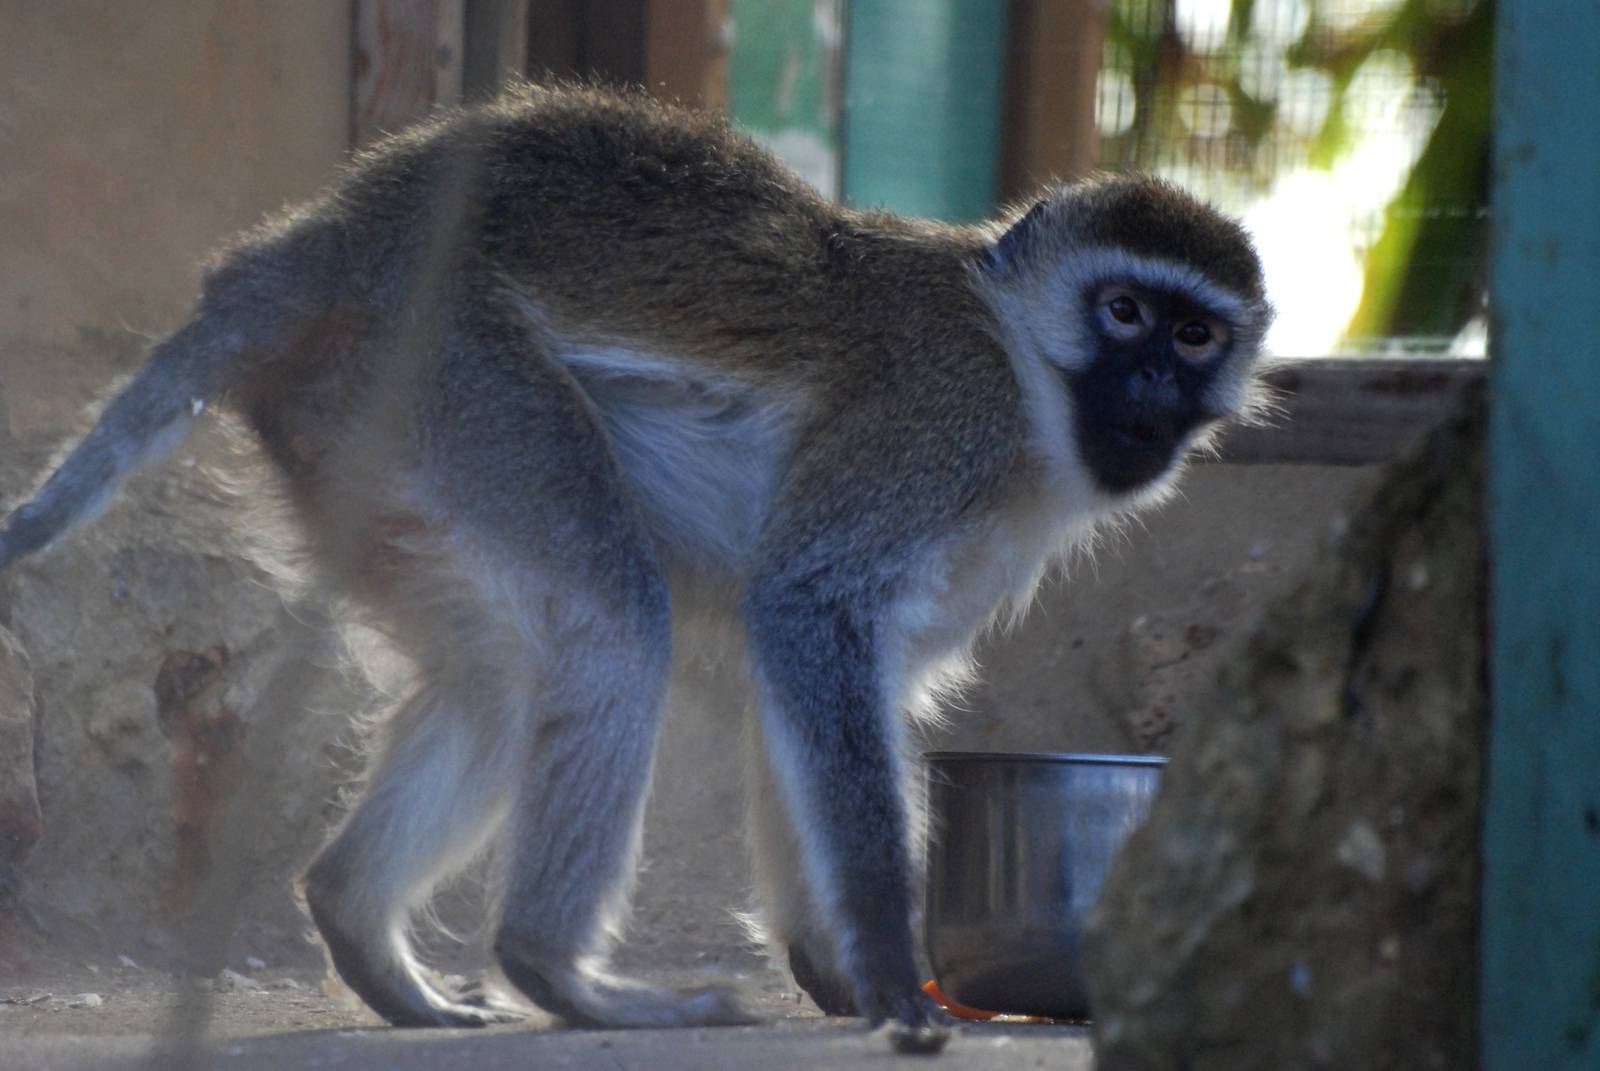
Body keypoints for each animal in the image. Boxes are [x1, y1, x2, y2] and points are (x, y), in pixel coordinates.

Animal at [0, 83, 1271, 1052]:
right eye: (1122, 313)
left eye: (1192, 335)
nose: (1152, 386)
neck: (1024, 376)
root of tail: (338, 238)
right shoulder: (934, 427)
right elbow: (801, 616)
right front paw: (885, 967)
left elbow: (799, 685)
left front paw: (832, 969)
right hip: (456, 378)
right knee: (613, 620)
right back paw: (556, 973)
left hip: (361, 434)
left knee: (500, 677)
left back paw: (364, 928)